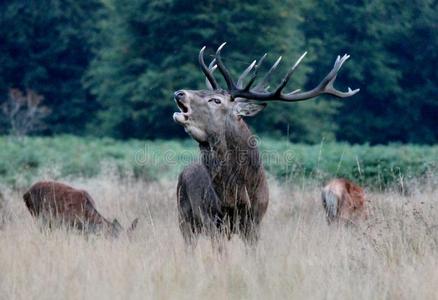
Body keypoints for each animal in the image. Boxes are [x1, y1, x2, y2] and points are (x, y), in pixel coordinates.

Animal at [174, 42, 360, 244]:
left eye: (216, 100)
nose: (179, 93)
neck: (236, 196)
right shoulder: (213, 221)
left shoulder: (255, 222)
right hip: (184, 217)